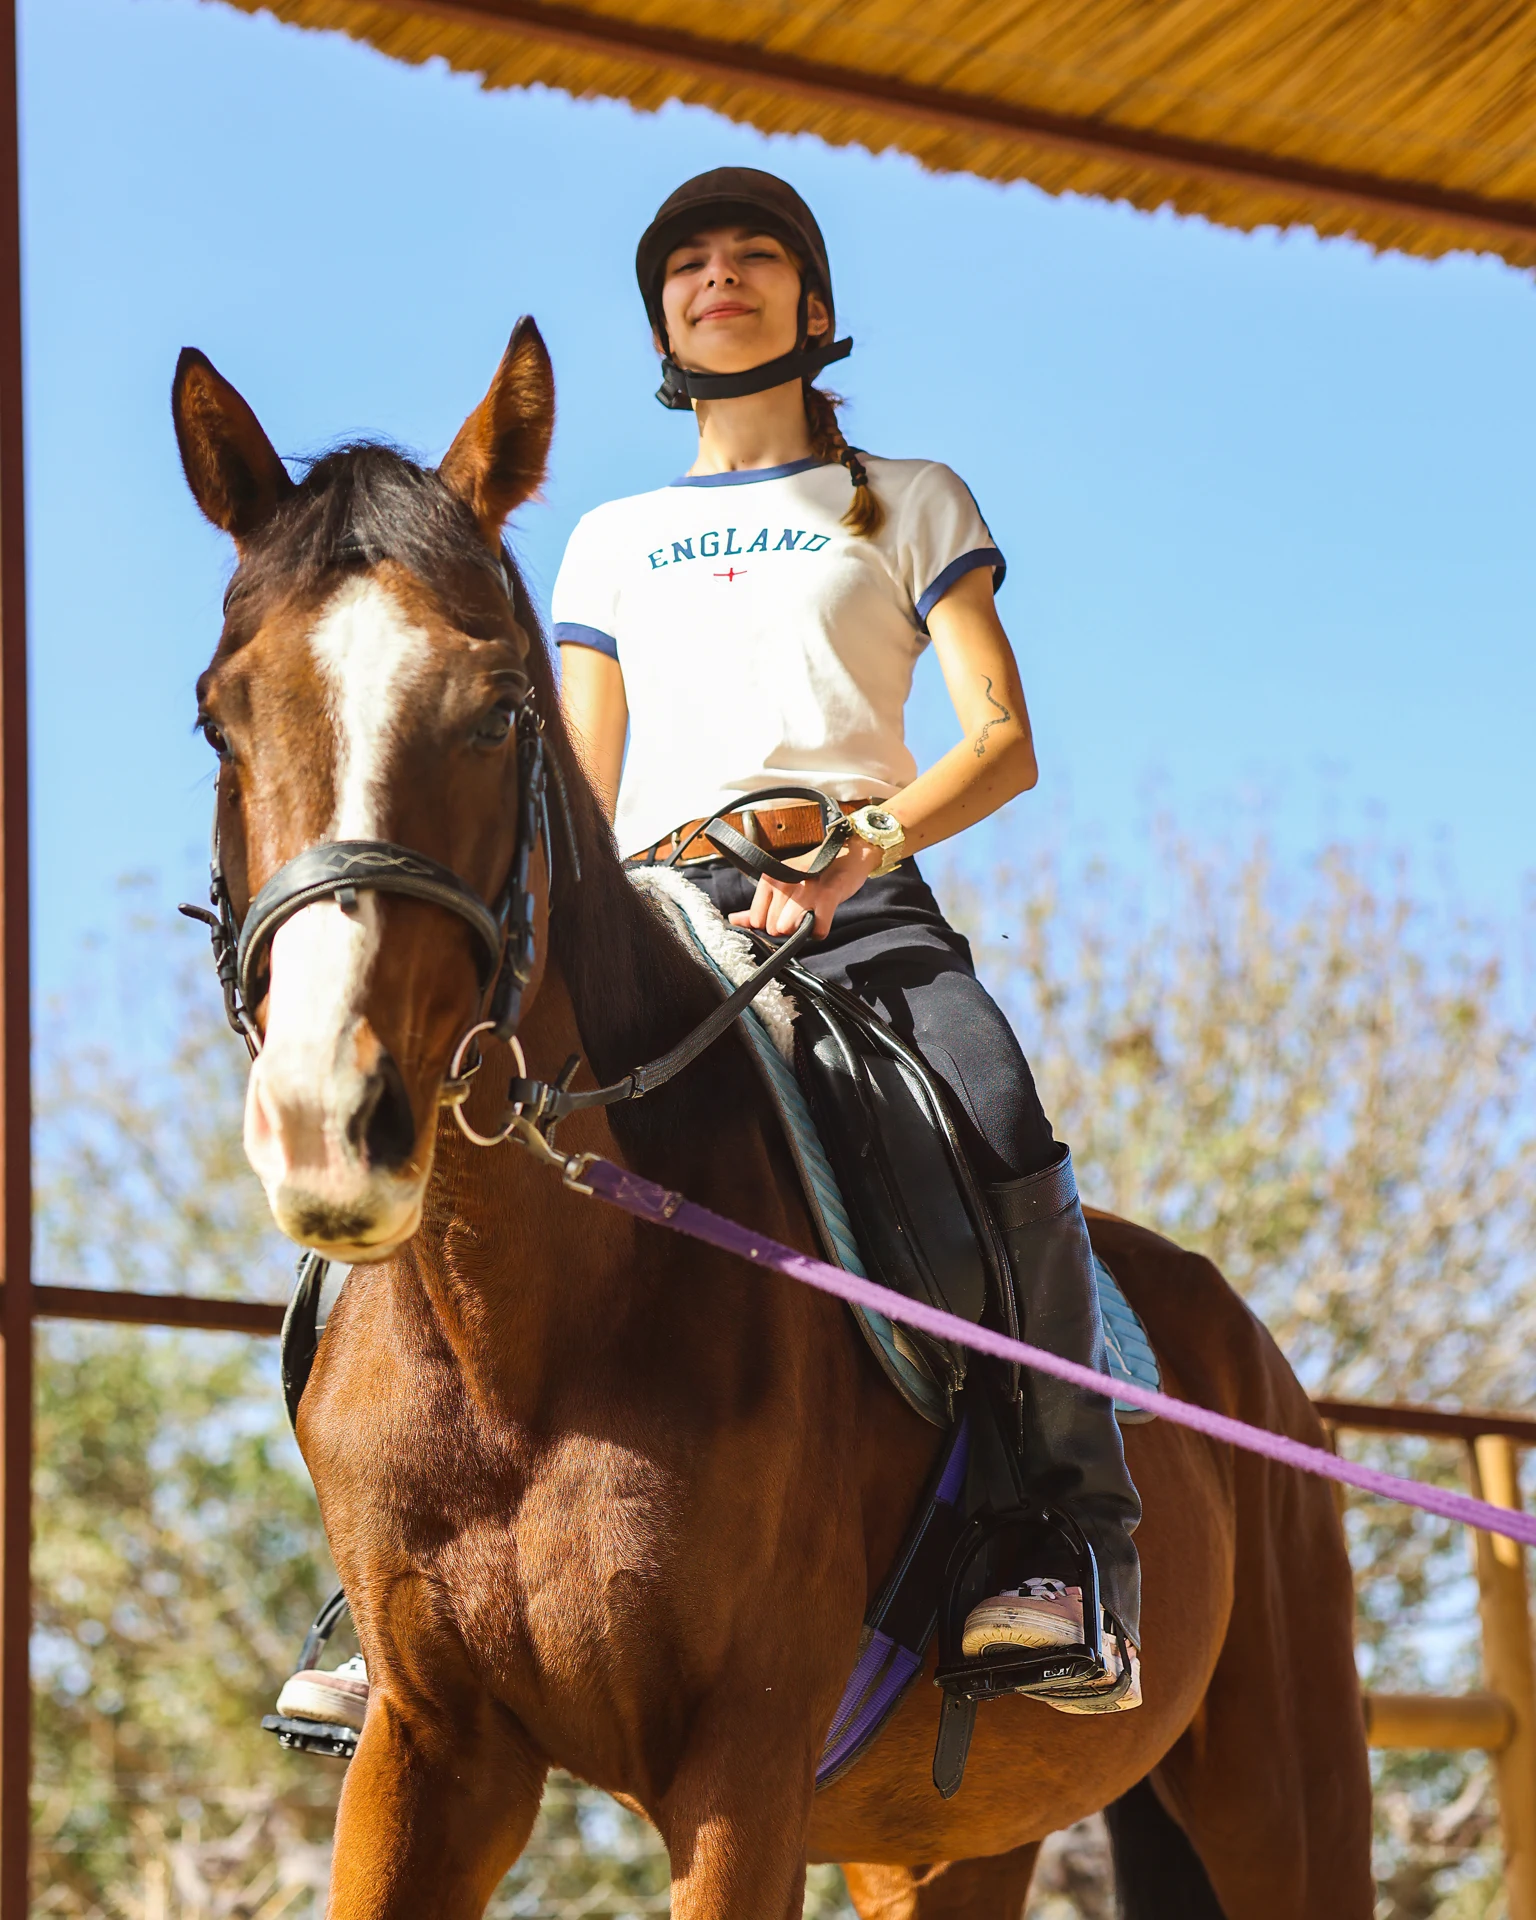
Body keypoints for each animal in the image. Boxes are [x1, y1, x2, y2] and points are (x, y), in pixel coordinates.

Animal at [172, 320, 1373, 1920]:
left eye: (497, 710)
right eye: (218, 720)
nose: (328, 1118)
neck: (524, 1336)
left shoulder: (740, 1768)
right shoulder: (429, 1756)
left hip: (1284, 1798)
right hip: (947, 1842)